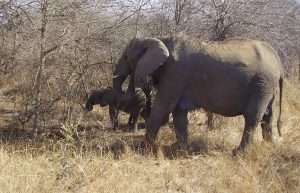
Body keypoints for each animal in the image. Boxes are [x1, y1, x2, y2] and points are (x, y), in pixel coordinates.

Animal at [113, 34, 284, 154]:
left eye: (126, 57)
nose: (131, 84)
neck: (159, 39)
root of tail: (278, 62)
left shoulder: (174, 73)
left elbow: (162, 108)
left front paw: (143, 148)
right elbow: (179, 113)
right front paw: (179, 148)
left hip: (262, 83)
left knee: (252, 116)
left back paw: (239, 153)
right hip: (266, 86)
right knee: (267, 114)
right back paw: (270, 145)